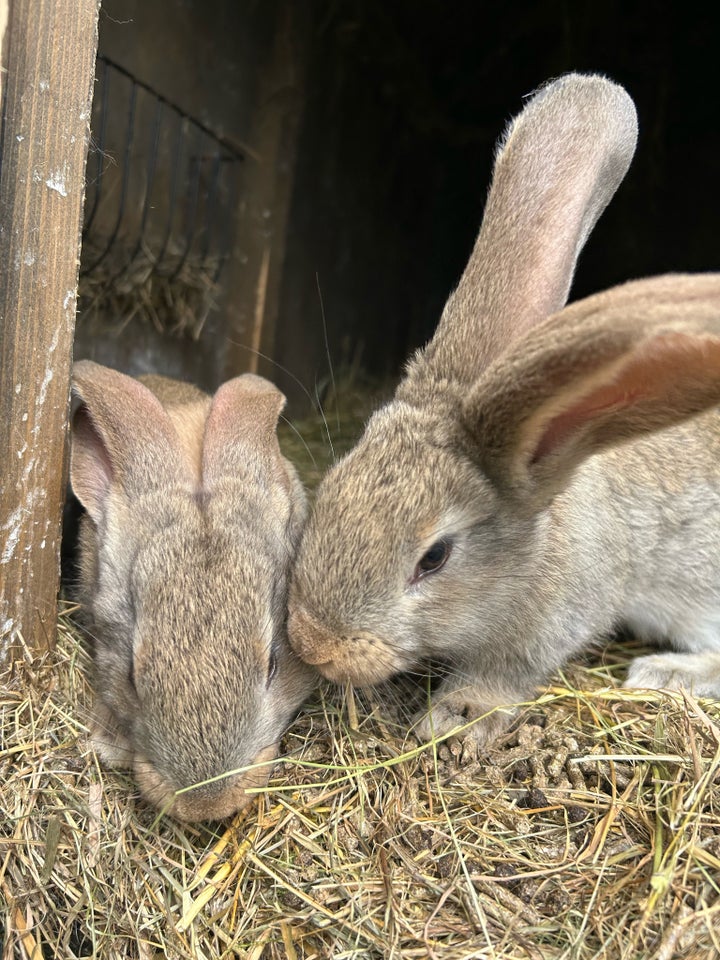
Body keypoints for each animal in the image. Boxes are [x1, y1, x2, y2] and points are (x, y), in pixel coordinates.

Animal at [284, 77, 720, 752]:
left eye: (434, 558)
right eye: (330, 482)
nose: (313, 643)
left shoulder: (546, 625)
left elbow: (501, 674)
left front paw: (453, 718)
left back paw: (664, 672)